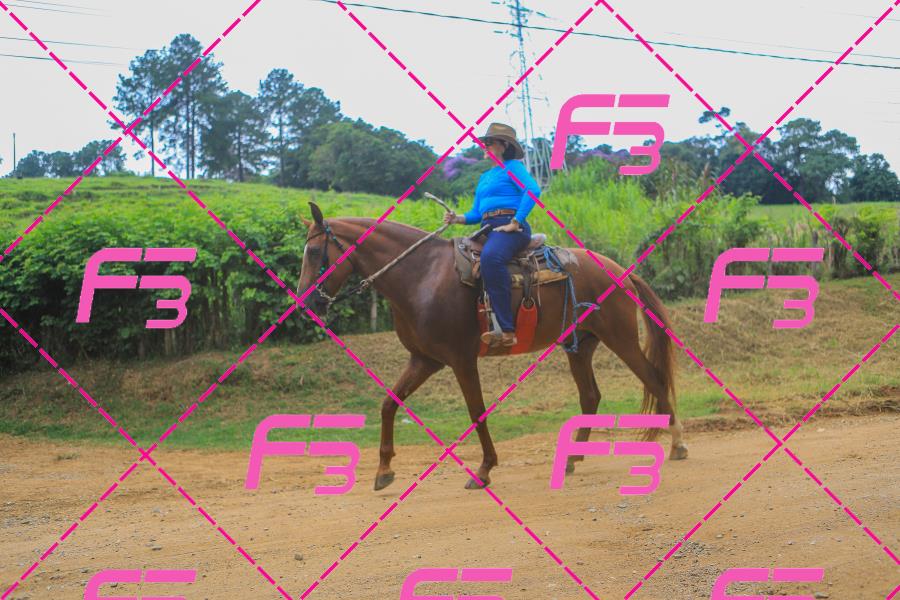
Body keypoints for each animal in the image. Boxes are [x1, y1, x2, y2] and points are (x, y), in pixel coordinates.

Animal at [296, 202, 688, 491]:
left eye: (314, 251)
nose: (304, 303)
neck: (421, 276)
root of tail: (619, 270)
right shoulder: (424, 359)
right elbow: (389, 403)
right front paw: (383, 470)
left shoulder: (461, 359)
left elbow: (476, 411)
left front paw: (484, 470)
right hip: (579, 345)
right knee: (591, 395)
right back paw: (572, 459)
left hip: (621, 338)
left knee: (653, 379)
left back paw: (677, 445)